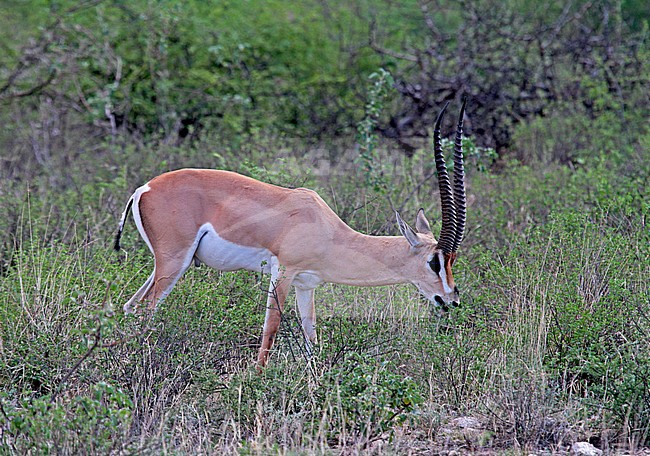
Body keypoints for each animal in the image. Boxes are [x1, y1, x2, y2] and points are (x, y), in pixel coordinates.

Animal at [114, 101, 467, 367]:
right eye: (435, 262)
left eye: (451, 261)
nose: (451, 300)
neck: (328, 232)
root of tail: (145, 188)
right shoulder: (283, 273)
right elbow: (270, 331)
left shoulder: (306, 284)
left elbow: (312, 337)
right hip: (173, 263)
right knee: (146, 310)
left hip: (168, 265)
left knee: (130, 307)